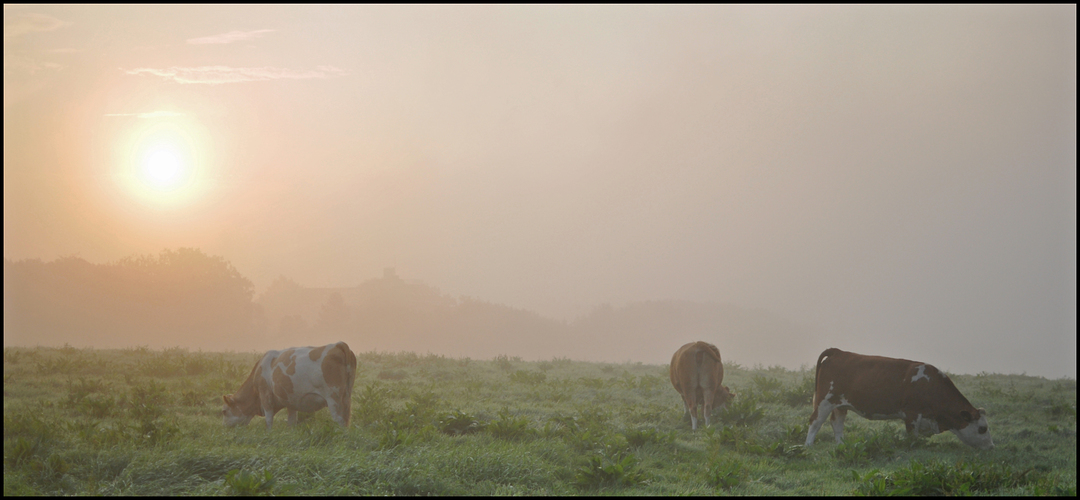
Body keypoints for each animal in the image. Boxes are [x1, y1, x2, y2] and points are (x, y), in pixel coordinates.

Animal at [221, 343, 356, 431]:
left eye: (224, 411)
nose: (225, 429)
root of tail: (337, 345)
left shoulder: (265, 394)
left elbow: (269, 420)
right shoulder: (291, 401)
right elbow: (291, 421)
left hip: (334, 398)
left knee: (339, 419)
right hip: (346, 397)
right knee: (346, 419)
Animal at [807, 347, 989, 449]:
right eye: (982, 428)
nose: (991, 446)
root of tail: (838, 352)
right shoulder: (912, 414)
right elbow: (912, 437)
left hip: (840, 405)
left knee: (837, 423)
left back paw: (841, 446)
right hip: (825, 401)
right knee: (815, 422)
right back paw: (808, 447)